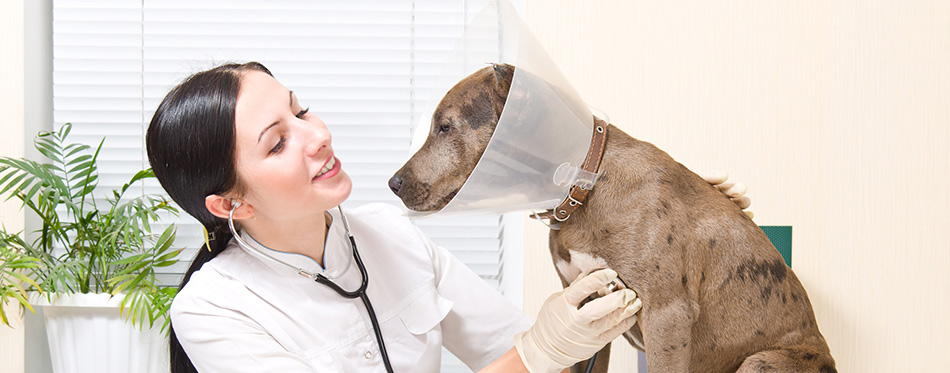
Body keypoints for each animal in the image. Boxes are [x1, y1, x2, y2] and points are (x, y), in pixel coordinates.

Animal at [390, 64, 836, 372]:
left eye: (445, 126)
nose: (393, 183)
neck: (584, 183)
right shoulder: (585, 310)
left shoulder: (667, 317)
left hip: (761, 360)